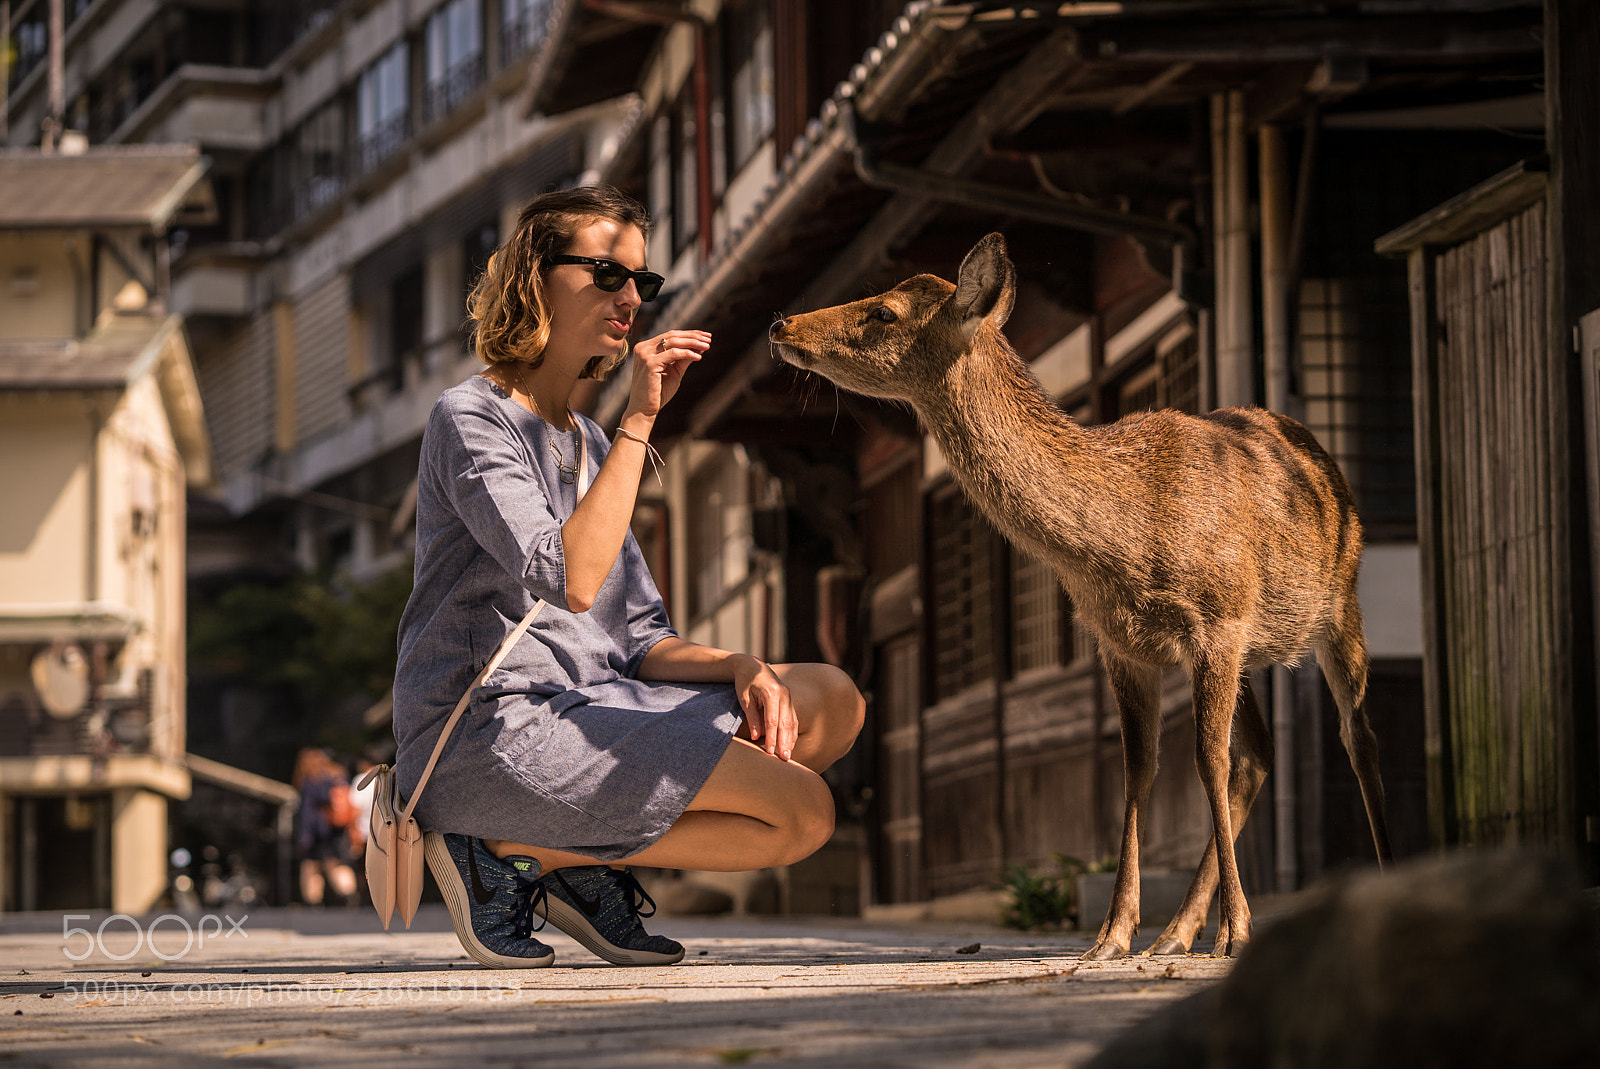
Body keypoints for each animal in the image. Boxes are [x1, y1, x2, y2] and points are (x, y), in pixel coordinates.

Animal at [767, 233, 1392, 959]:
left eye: (884, 312)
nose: (782, 324)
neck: (1121, 535)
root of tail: (1316, 447)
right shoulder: (1121, 642)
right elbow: (1137, 770)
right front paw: (1113, 934)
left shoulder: (1217, 623)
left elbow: (1204, 760)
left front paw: (1235, 930)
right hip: (1257, 651)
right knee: (1259, 756)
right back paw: (1173, 934)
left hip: (1339, 605)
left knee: (1356, 735)